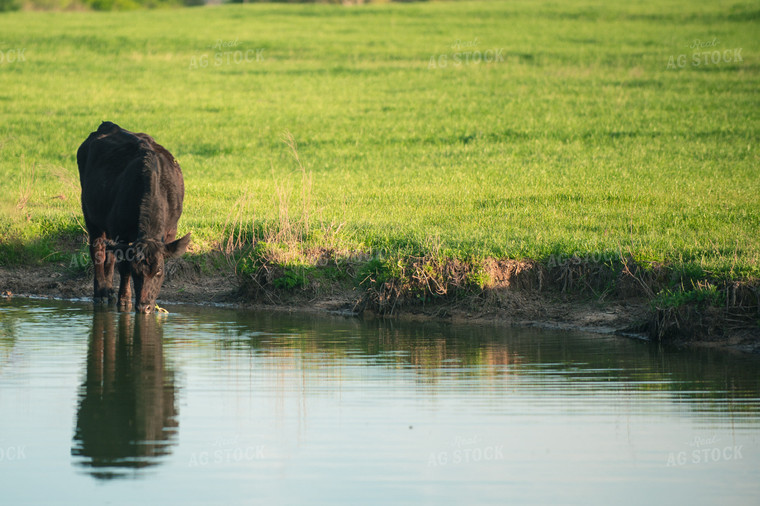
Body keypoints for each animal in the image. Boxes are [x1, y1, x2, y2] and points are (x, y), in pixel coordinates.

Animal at [77, 122, 191, 312]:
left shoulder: (170, 231)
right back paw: (101, 293)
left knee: (110, 254)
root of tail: (108, 125)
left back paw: (109, 290)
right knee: (98, 251)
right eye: (137, 271)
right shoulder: (121, 233)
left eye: (158, 271)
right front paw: (124, 300)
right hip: (91, 215)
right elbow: (124, 268)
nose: (144, 307)